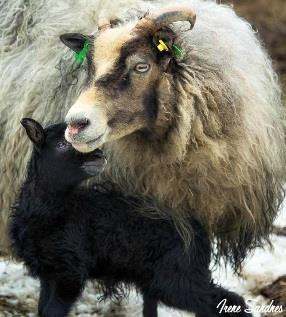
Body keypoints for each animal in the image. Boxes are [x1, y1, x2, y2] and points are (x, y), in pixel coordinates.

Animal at [8, 118, 251, 316]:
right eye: (61, 145)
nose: (100, 156)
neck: (53, 210)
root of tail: (200, 230)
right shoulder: (49, 273)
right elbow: (42, 310)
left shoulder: (70, 272)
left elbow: (52, 312)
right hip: (163, 277)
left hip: (176, 277)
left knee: (231, 302)